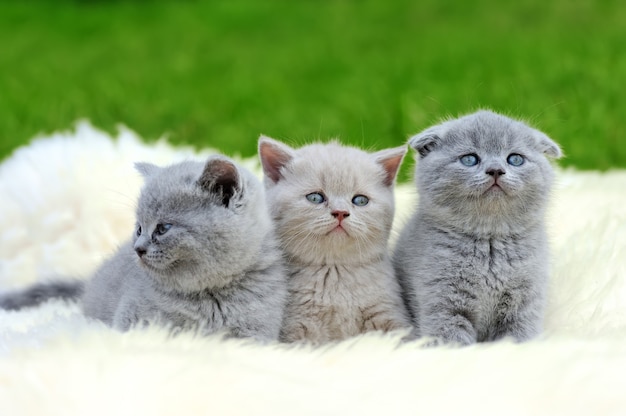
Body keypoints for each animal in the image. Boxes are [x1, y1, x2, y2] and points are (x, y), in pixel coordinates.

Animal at [0, 155, 286, 342]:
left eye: (163, 228)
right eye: (139, 228)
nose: (137, 248)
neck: (207, 295)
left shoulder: (256, 331)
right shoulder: (133, 319)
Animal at [256, 136, 412, 344]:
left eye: (360, 200)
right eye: (315, 197)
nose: (340, 212)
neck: (335, 272)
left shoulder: (390, 315)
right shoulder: (294, 327)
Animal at [390, 109, 560, 344]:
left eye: (515, 159)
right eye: (469, 159)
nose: (496, 170)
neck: (490, 240)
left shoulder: (524, 302)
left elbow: (519, 337)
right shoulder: (443, 302)